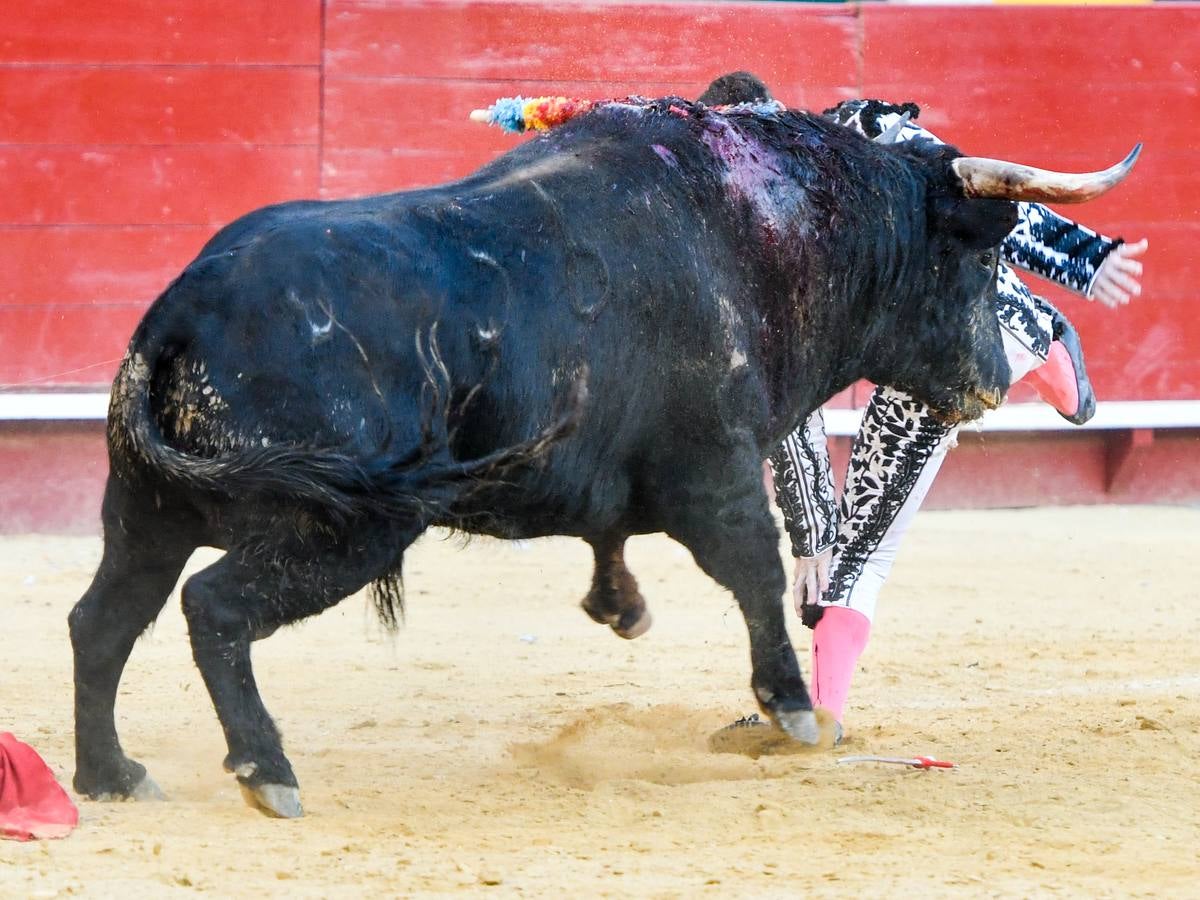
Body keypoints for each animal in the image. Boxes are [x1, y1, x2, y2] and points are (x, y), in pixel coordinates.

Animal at [68, 98, 1041, 816]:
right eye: (976, 257)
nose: (995, 379)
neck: (762, 233)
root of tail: (178, 314)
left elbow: (619, 540)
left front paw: (621, 607)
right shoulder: (717, 468)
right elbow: (757, 571)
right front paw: (793, 710)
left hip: (146, 515)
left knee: (101, 621)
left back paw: (111, 777)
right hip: (347, 529)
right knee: (214, 608)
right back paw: (267, 773)